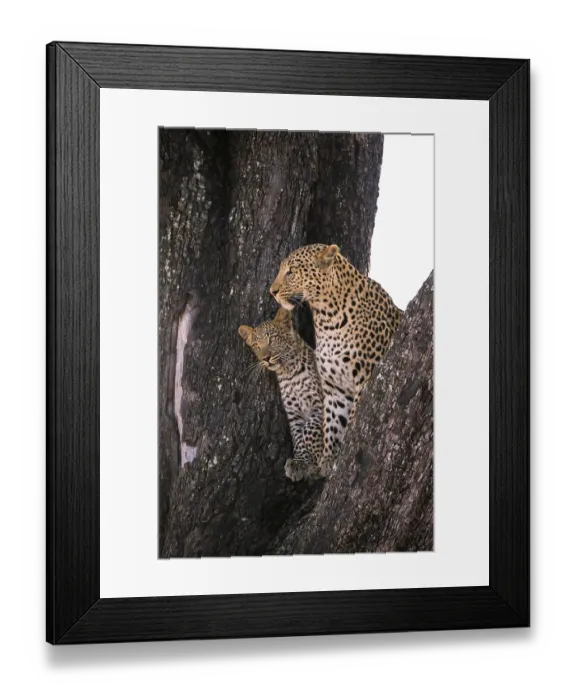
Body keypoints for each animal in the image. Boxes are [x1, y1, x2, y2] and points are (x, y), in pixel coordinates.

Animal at [238, 307, 324, 482]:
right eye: (256, 345)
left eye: (272, 339)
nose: (266, 358)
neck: (289, 373)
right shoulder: (293, 414)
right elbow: (298, 437)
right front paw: (300, 462)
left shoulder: (319, 403)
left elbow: (309, 429)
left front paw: (316, 457)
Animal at [269, 243, 404, 475]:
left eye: (291, 271)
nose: (272, 291)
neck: (326, 317)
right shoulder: (335, 388)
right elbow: (332, 422)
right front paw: (328, 461)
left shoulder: (365, 377)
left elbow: (353, 419)